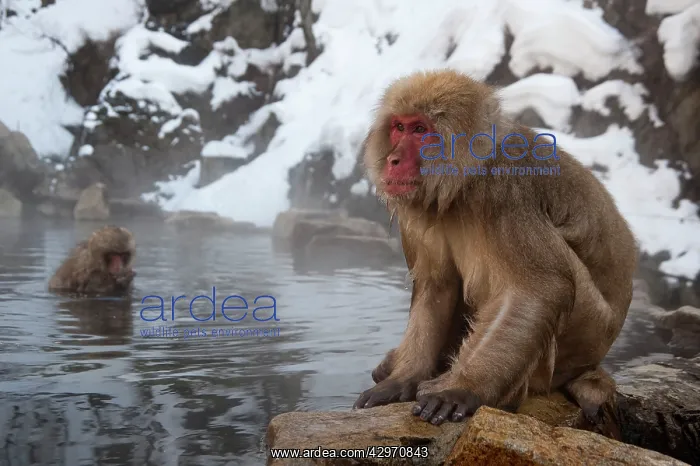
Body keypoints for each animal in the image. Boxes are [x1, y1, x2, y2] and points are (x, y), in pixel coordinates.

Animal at [352, 69, 638, 426]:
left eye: (421, 130)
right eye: (399, 127)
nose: (393, 159)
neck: (466, 180)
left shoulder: (506, 194)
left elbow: (538, 289)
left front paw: (463, 389)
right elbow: (437, 285)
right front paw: (404, 378)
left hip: (585, 334)